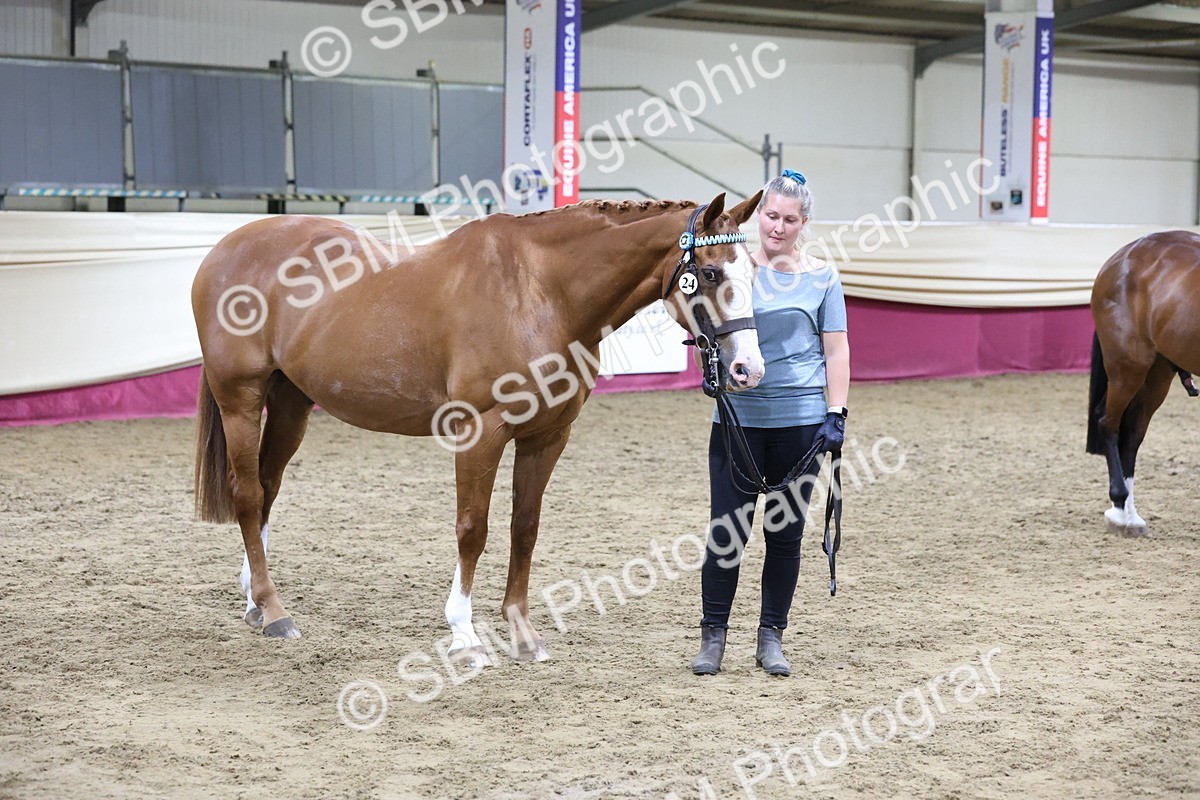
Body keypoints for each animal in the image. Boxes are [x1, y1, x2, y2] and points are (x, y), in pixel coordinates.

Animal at [191, 191, 765, 663]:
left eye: (756, 273)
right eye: (711, 274)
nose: (748, 370)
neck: (540, 292)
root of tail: (224, 249)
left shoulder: (547, 438)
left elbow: (524, 528)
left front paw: (524, 635)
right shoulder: (480, 433)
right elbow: (473, 529)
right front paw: (464, 635)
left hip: (290, 404)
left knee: (267, 489)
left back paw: (254, 600)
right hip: (241, 400)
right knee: (247, 495)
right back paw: (274, 611)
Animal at [1087, 230, 1200, 536]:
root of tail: (1119, 258)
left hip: (1156, 376)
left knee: (1132, 434)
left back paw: (1129, 514)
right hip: (1128, 368)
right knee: (1108, 423)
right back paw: (1119, 506)